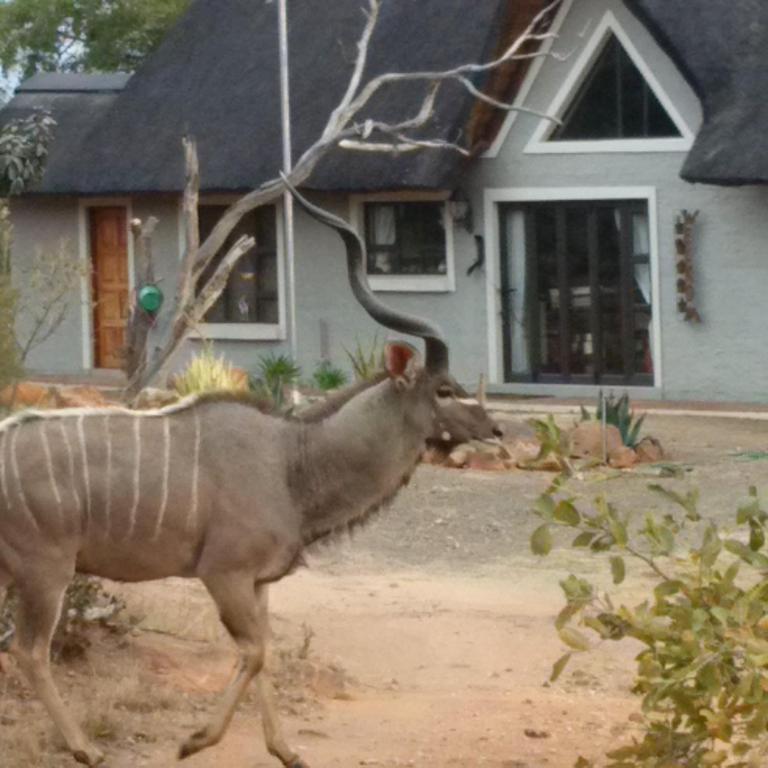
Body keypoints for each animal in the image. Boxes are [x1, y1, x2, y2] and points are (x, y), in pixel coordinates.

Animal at [0, 183, 503, 768]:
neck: (291, 461)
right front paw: (194, 740)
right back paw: (86, 748)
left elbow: (265, 653)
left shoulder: (259, 583)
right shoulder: (225, 573)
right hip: (46, 570)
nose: (495, 428)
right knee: (30, 650)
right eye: (444, 389)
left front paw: (286, 751)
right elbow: (256, 652)